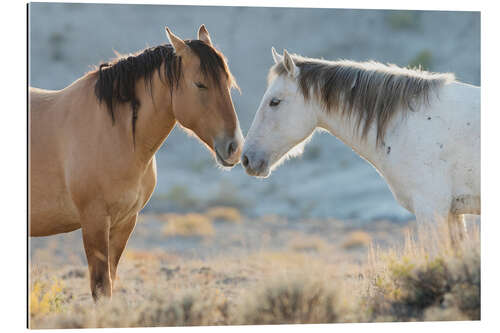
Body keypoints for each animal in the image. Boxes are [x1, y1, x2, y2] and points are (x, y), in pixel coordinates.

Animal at [29, 26, 244, 300]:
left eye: (228, 83)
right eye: (200, 84)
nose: (234, 147)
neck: (112, 131)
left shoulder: (125, 222)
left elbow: (110, 283)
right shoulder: (94, 222)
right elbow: (101, 288)